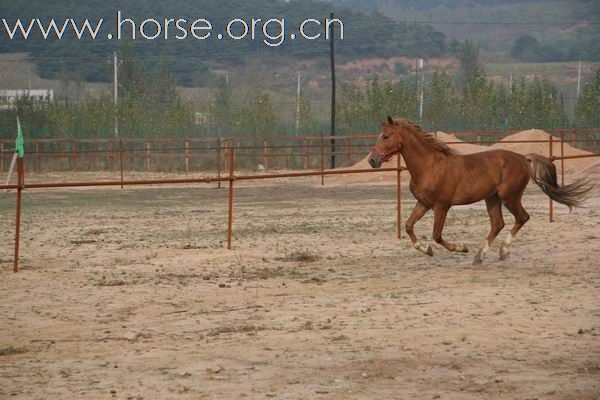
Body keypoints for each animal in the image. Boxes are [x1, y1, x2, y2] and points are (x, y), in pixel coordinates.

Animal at [368, 117, 592, 264]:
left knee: (522, 218)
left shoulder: (442, 206)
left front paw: (461, 247)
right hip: (492, 198)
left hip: (509, 197)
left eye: (386, 136)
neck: (429, 165)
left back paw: (501, 252)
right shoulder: (423, 203)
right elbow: (408, 226)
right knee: (498, 223)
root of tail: (523, 158)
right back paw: (480, 255)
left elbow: (437, 235)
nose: (372, 160)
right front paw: (427, 250)